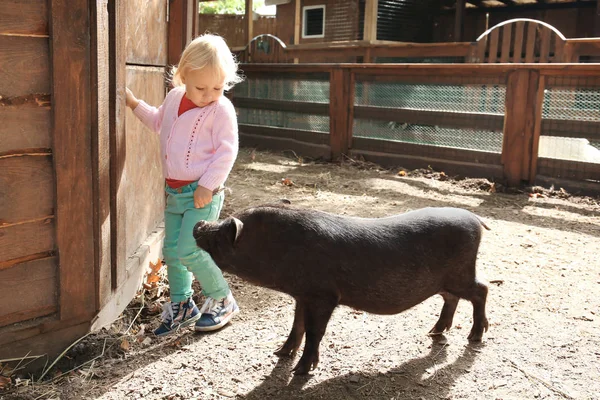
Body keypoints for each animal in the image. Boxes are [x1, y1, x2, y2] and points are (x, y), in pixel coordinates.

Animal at [195, 205, 490, 376]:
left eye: (225, 232)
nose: (199, 224)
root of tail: (475, 218)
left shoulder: (323, 296)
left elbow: (314, 331)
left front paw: (301, 372)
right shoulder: (302, 295)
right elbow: (297, 326)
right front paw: (279, 354)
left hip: (462, 274)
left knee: (482, 289)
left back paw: (475, 337)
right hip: (447, 281)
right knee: (453, 298)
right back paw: (435, 332)